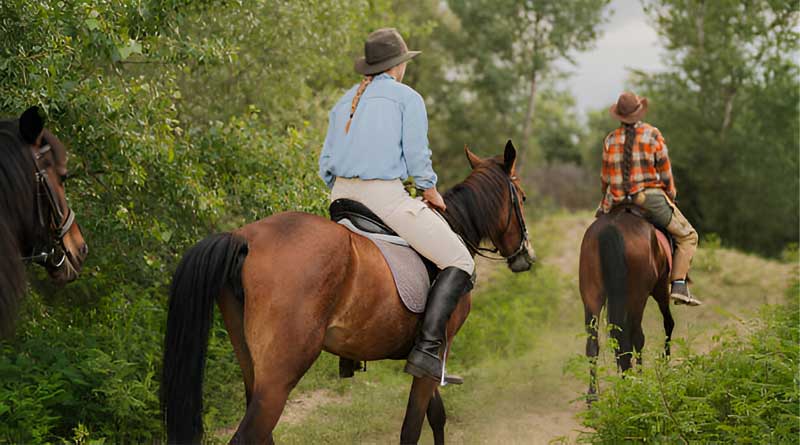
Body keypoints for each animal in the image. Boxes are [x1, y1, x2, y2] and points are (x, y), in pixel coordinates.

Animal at [161, 140, 536, 444]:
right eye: (523, 198)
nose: (526, 256)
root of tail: (243, 238)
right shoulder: (439, 347)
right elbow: (414, 426)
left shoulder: (426, 358)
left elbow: (435, 416)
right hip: (280, 374)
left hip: (251, 365)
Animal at [579, 205, 675, 399]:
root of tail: (611, 227)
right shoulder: (661, 288)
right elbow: (667, 323)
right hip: (638, 296)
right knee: (635, 337)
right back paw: (635, 382)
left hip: (591, 294)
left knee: (594, 343)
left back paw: (593, 396)